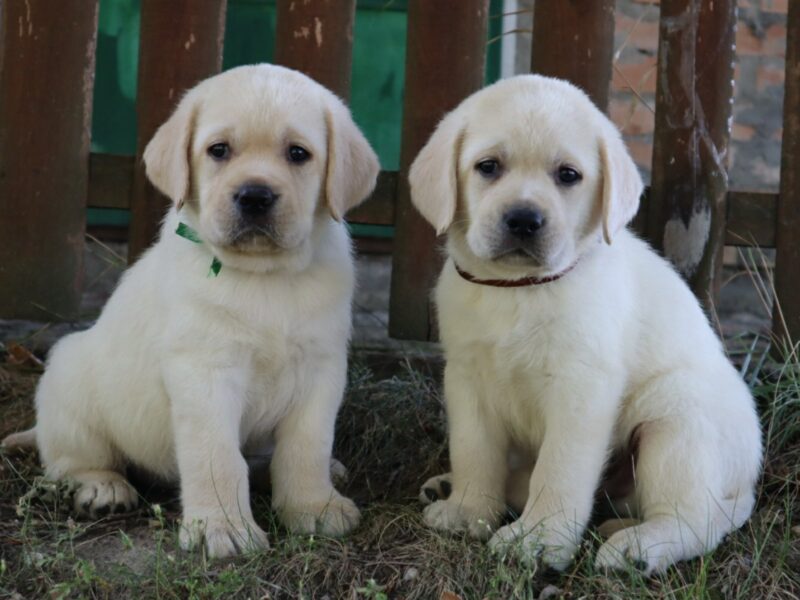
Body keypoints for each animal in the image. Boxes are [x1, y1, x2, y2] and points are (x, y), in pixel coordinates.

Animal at [3, 64, 378, 556]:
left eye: (298, 153)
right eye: (219, 150)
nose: (255, 196)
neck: (264, 277)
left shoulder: (322, 367)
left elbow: (306, 446)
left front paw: (313, 506)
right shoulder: (205, 371)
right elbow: (216, 455)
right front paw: (222, 527)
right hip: (70, 382)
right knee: (72, 460)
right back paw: (103, 487)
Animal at [416, 77, 760, 576]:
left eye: (568, 175)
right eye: (488, 167)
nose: (523, 220)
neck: (519, 289)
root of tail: (748, 483)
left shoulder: (580, 389)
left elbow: (559, 469)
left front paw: (538, 540)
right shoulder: (466, 378)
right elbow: (473, 450)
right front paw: (469, 510)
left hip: (678, 419)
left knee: (696, 519)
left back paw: (639, 547)